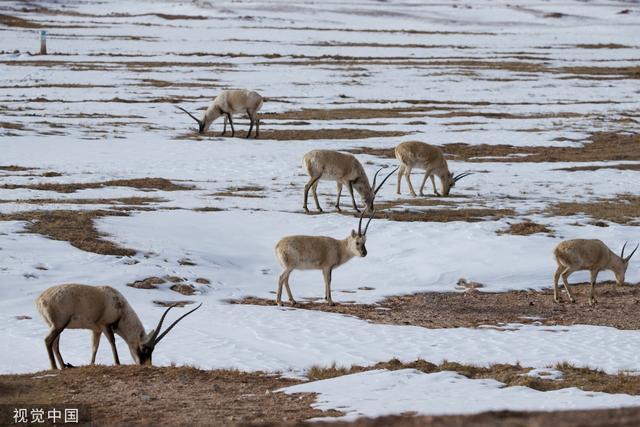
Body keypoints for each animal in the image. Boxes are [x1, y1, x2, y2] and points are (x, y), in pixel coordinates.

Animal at [34, 282, 202, 370]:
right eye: (144, 349)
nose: (145, 365)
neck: (121, 308)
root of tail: (41, 299)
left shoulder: (96, 330)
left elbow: (94, 347)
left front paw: (91, 364)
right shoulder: (105, 325)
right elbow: (112, 342)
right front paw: (117, 363)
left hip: (58, 326)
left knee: (55, 344)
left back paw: (64, 366)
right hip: (59, 324)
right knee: (48, 341)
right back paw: (55, 368)